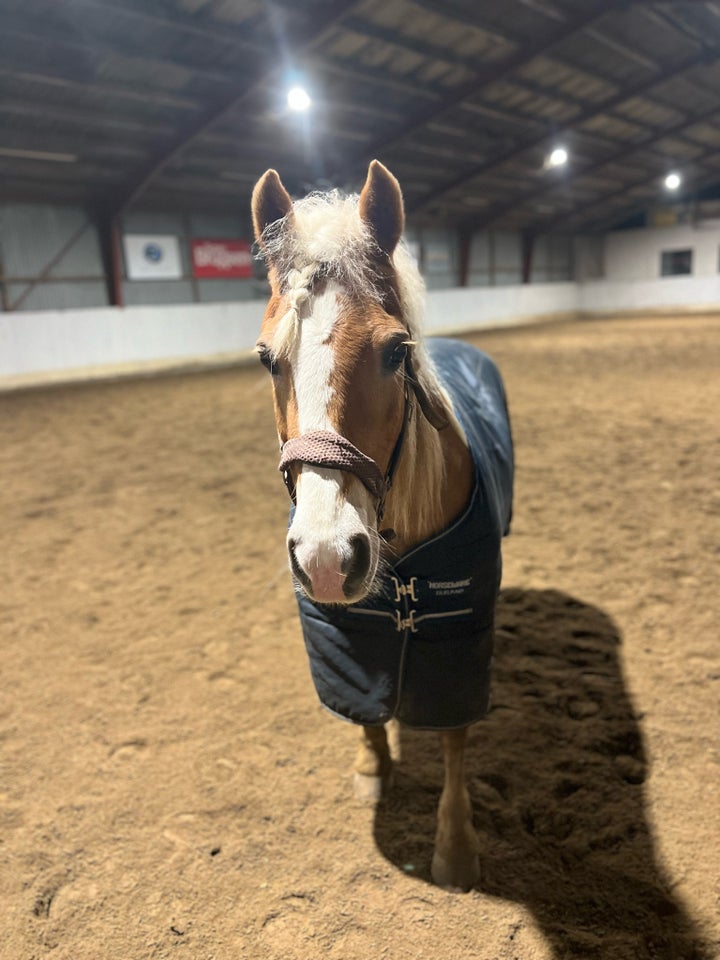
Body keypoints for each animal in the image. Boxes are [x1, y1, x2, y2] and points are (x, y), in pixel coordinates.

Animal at [250, 159, 516, 892]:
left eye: (396, 352)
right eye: (266, 358)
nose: (325, 557)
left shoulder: (456, 635)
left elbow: (454, 737)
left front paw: (455, 848)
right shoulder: (345, 629)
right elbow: (361, 704)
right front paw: (372, 770)